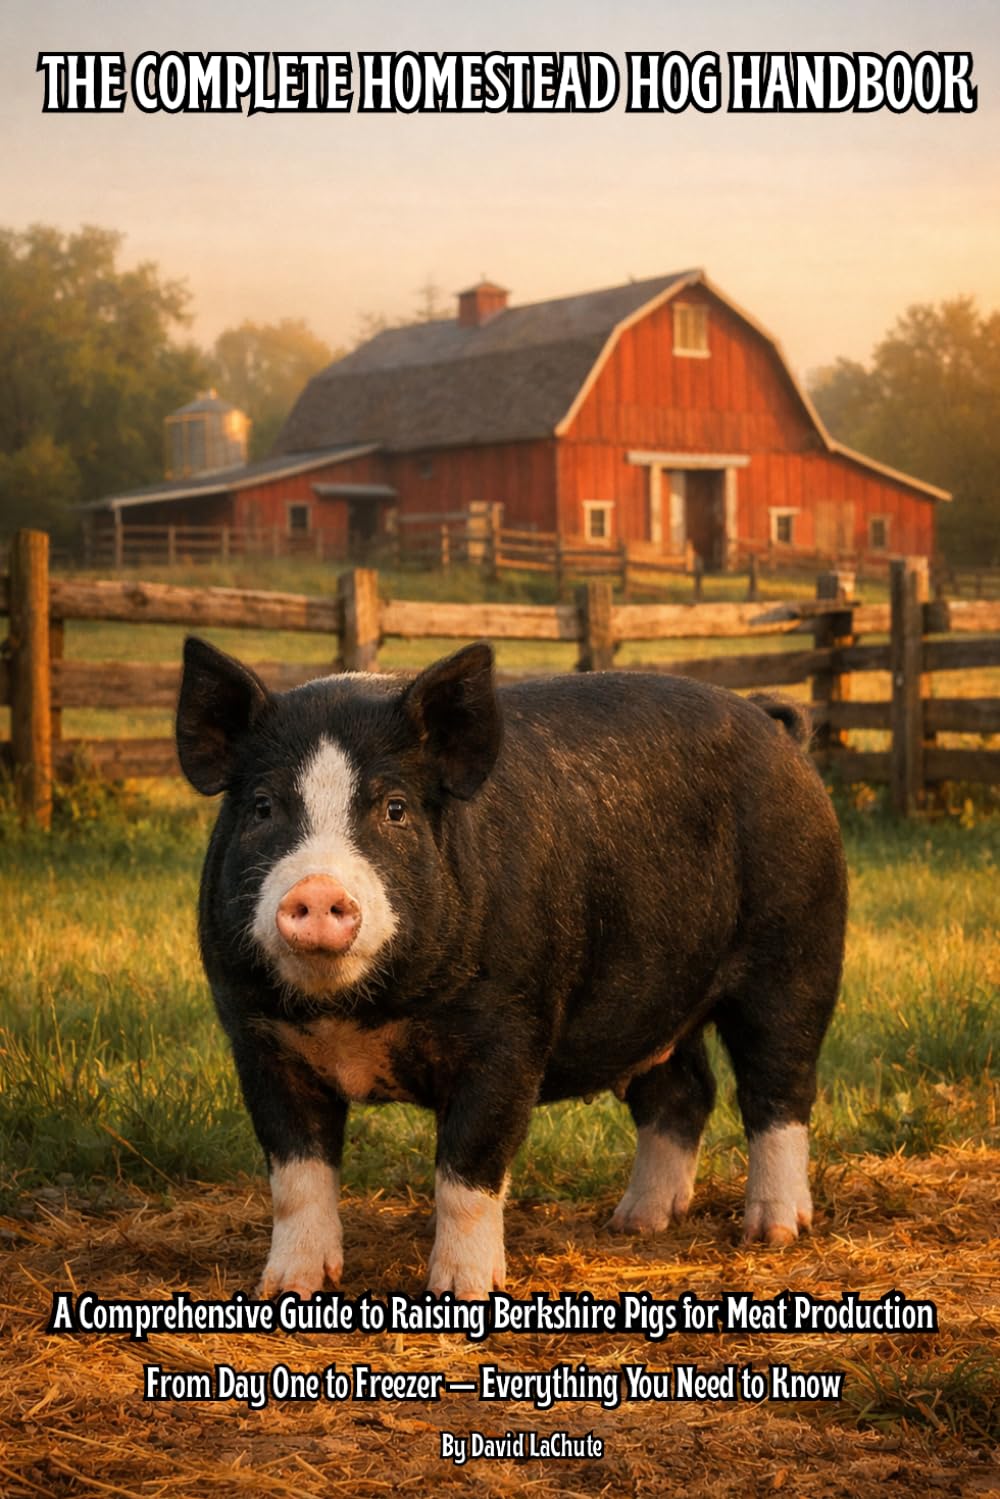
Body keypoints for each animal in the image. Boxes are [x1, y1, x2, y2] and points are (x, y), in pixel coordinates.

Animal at [176, 637, 846, 1301]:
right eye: (262, 806)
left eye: (395, 808)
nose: (316, 889)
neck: (357, 1014)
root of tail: (776, 728)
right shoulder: (256, 1038)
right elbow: (296, 1174)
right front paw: (286, 1289)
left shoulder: (509, 1029)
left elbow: (469, 1167)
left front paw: (462, 1292)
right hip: (655, 999)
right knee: (683, 1090)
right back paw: (635, 1222)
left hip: (799, 950)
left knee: (777, 1088)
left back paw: (773, 1232)